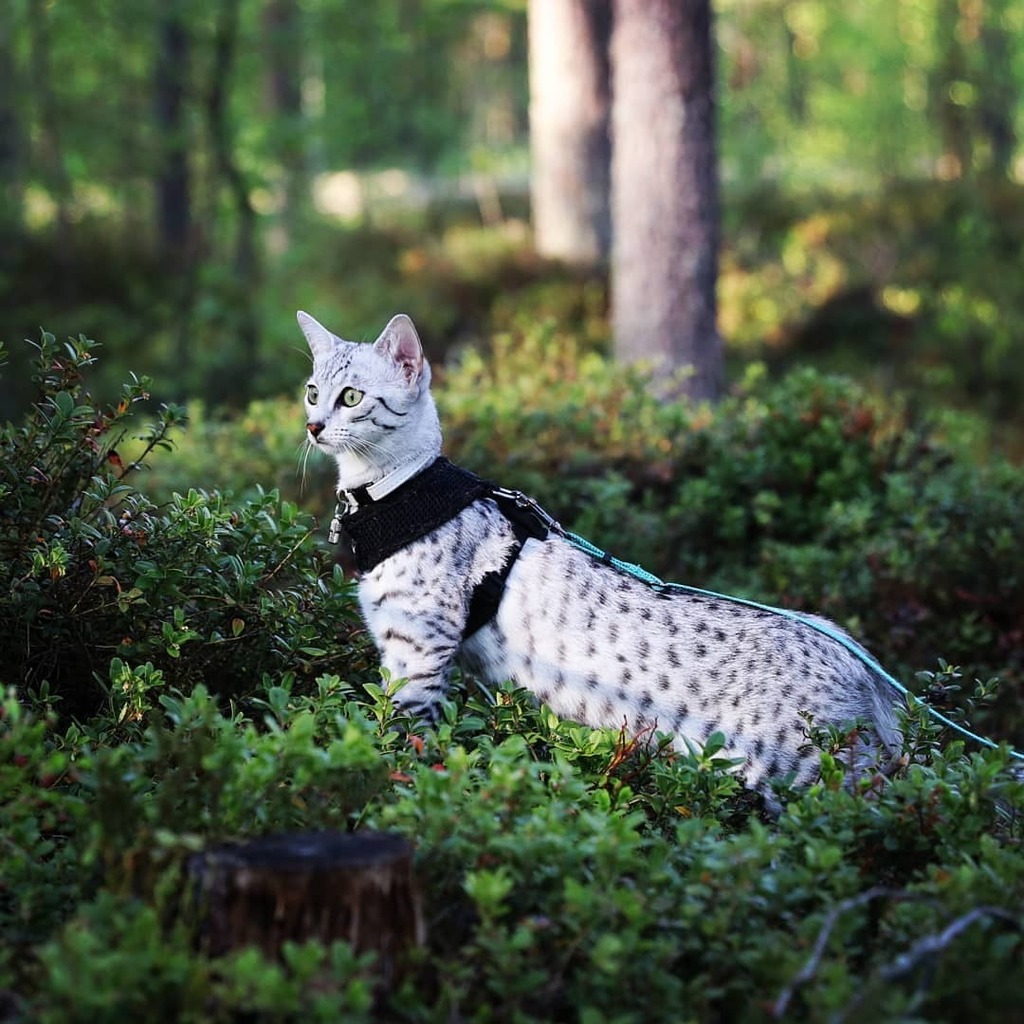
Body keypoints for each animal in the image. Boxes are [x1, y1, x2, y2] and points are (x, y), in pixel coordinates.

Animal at [299, 307, 901, 802]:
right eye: (311, 391)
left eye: (350, 397)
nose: (313, 425)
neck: (386, 494)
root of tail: (862, 667)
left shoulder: (416, 655)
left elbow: (401, 741)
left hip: (807, 776)